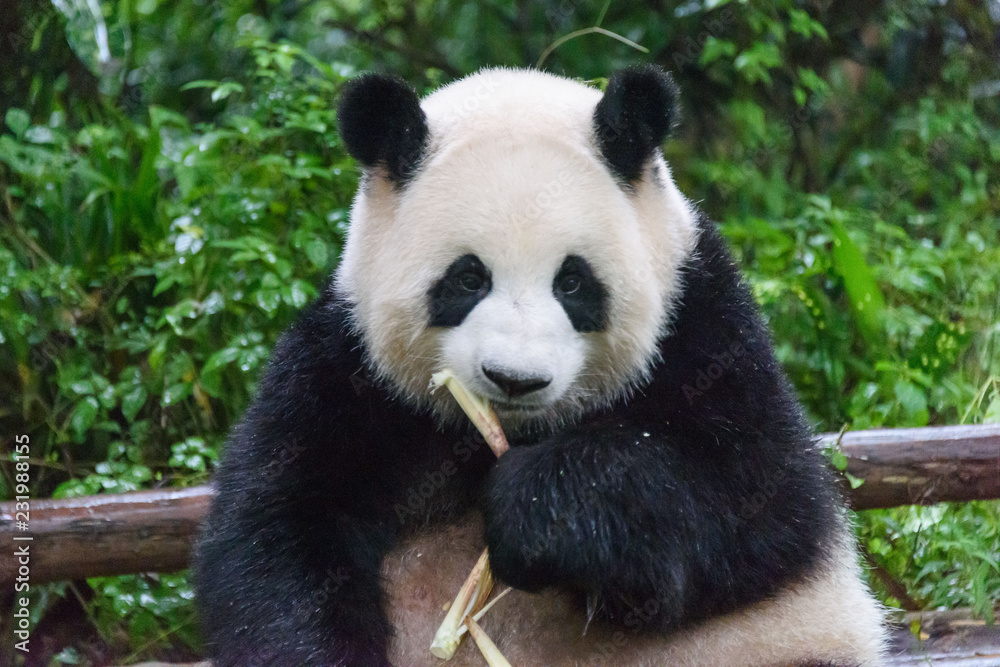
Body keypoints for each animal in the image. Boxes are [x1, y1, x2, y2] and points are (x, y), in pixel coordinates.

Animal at [191, 65, 888, 664]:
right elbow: (277, 533)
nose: (515, 379)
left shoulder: (704, 325)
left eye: (573, 282)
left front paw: (535, 511)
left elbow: (754, 499)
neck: (513, 433)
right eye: (467, 278)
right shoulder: (349, 368)